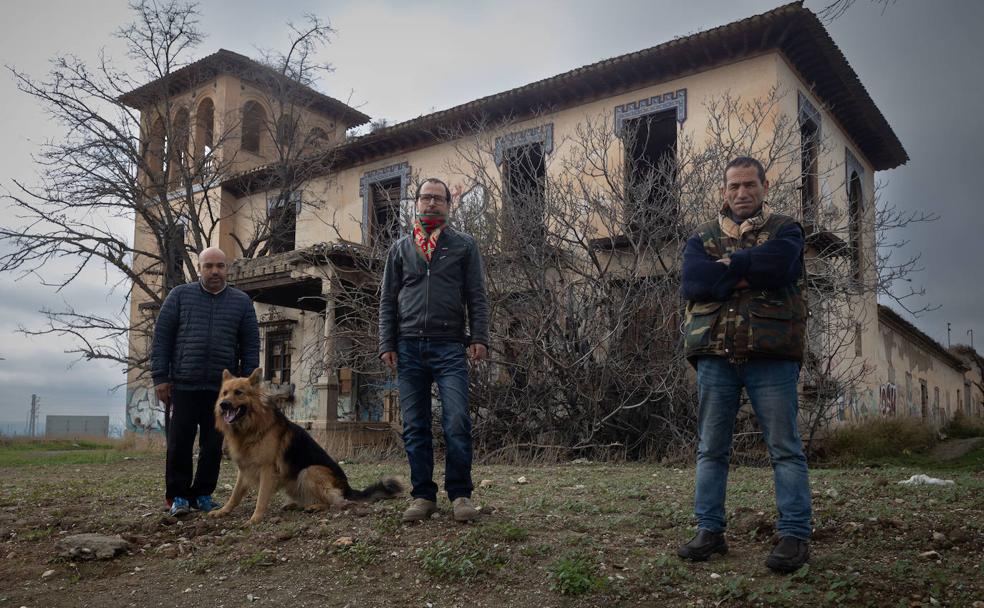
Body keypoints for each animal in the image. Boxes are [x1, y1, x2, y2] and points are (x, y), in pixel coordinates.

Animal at [210, 368, 404, 524]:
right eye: (225, 393)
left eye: (239, 392)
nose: (223, 405)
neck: (252, 427)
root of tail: (347, 488)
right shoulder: (244, 469)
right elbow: (235, 495)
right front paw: (223, 511)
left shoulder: (267, 470)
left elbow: (261, 498)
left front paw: (255, 519)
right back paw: (295, 504)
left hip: (310, 471)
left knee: (337, 502)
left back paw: (316, 506)